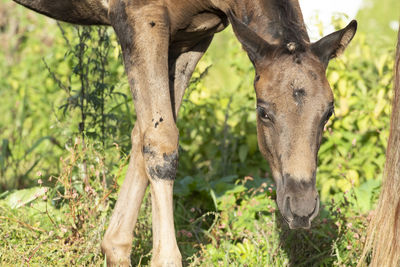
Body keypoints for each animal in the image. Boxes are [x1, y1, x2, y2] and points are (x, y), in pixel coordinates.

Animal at [11, 0, 356, 266]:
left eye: (328, 112)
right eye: (263, 111)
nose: (301, 209)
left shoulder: (190, 38)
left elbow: (146, 133)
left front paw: (115, 247)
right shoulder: (139, 17)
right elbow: (161, 140)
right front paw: (163, 258)